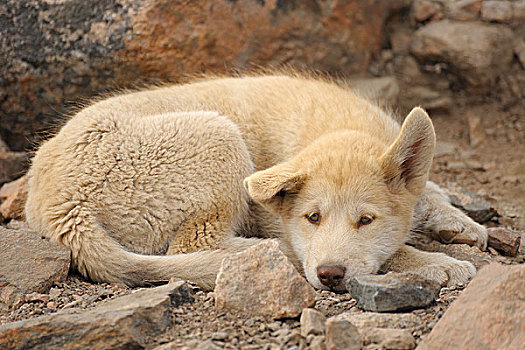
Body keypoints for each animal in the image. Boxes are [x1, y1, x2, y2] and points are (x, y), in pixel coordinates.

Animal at [24, 72, 486, 292]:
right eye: (312, 217)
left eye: (366, 220)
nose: (329, 275)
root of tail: (61, 205)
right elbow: (393, 251)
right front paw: (437, 263)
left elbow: (428, 189)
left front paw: (458, 221)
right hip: (219, 137)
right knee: (194, 248)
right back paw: (268, 253)